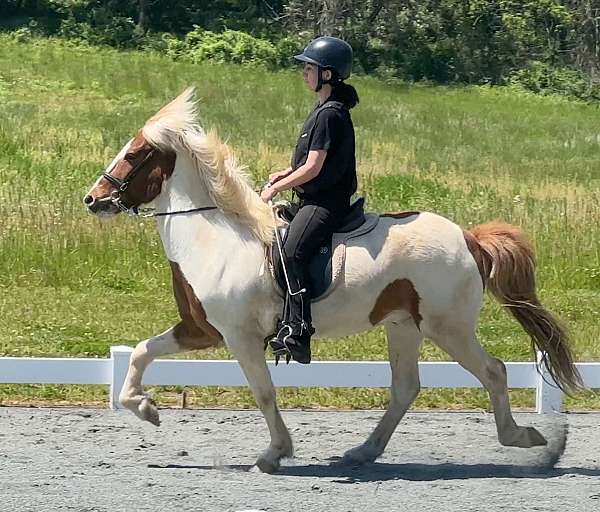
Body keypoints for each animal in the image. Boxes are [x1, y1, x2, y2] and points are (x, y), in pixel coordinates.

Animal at [84, 87, 580, 472]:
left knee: (493, 372)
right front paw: (145, 409)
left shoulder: (240, 337)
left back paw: (529, 441)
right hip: (404, 325)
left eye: (134, 154)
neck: (216, 238)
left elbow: (263, 393)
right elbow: (142, 352)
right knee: (406, 388)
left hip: (449, 328)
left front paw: (274, 454)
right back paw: (362, 452)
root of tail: (468, 236)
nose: (93, 199)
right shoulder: (201, 329)